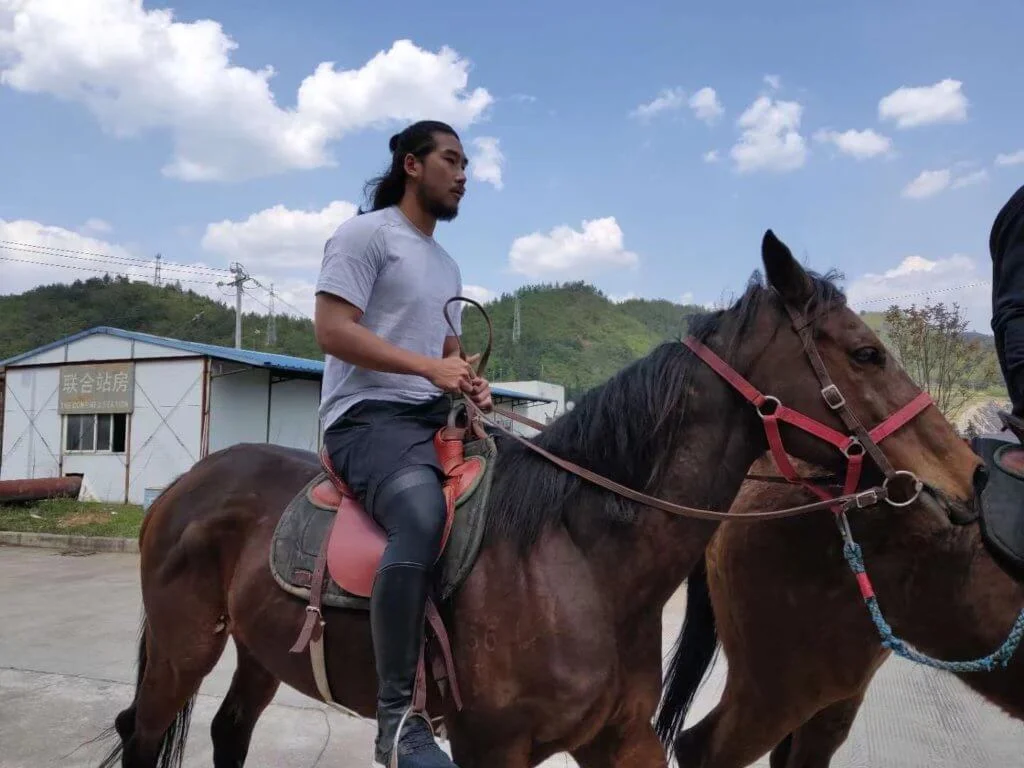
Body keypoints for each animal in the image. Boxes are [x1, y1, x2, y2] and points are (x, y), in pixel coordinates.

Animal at [95, 231, 982, 768]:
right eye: (865, 353)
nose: (968, 477)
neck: (580, 559)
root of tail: (185, 486)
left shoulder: (620, 739)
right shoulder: (494, 749)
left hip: (258, 649)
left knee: (228, 730)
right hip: (183, 647)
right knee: (147, 734)